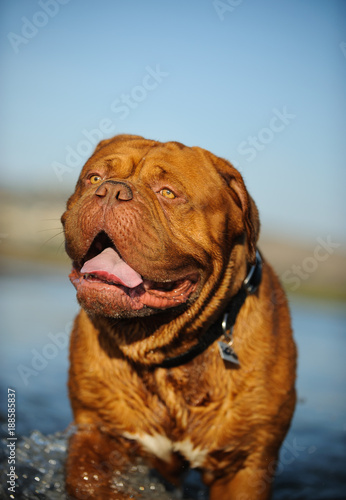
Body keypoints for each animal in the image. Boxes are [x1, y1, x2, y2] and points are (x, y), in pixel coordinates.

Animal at [61, 134, 294, 500]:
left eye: (168, 193)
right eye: (94, 178)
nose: (111, 191)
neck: (162, 348)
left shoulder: (245, 464)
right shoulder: (98, 432)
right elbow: (88, 480)